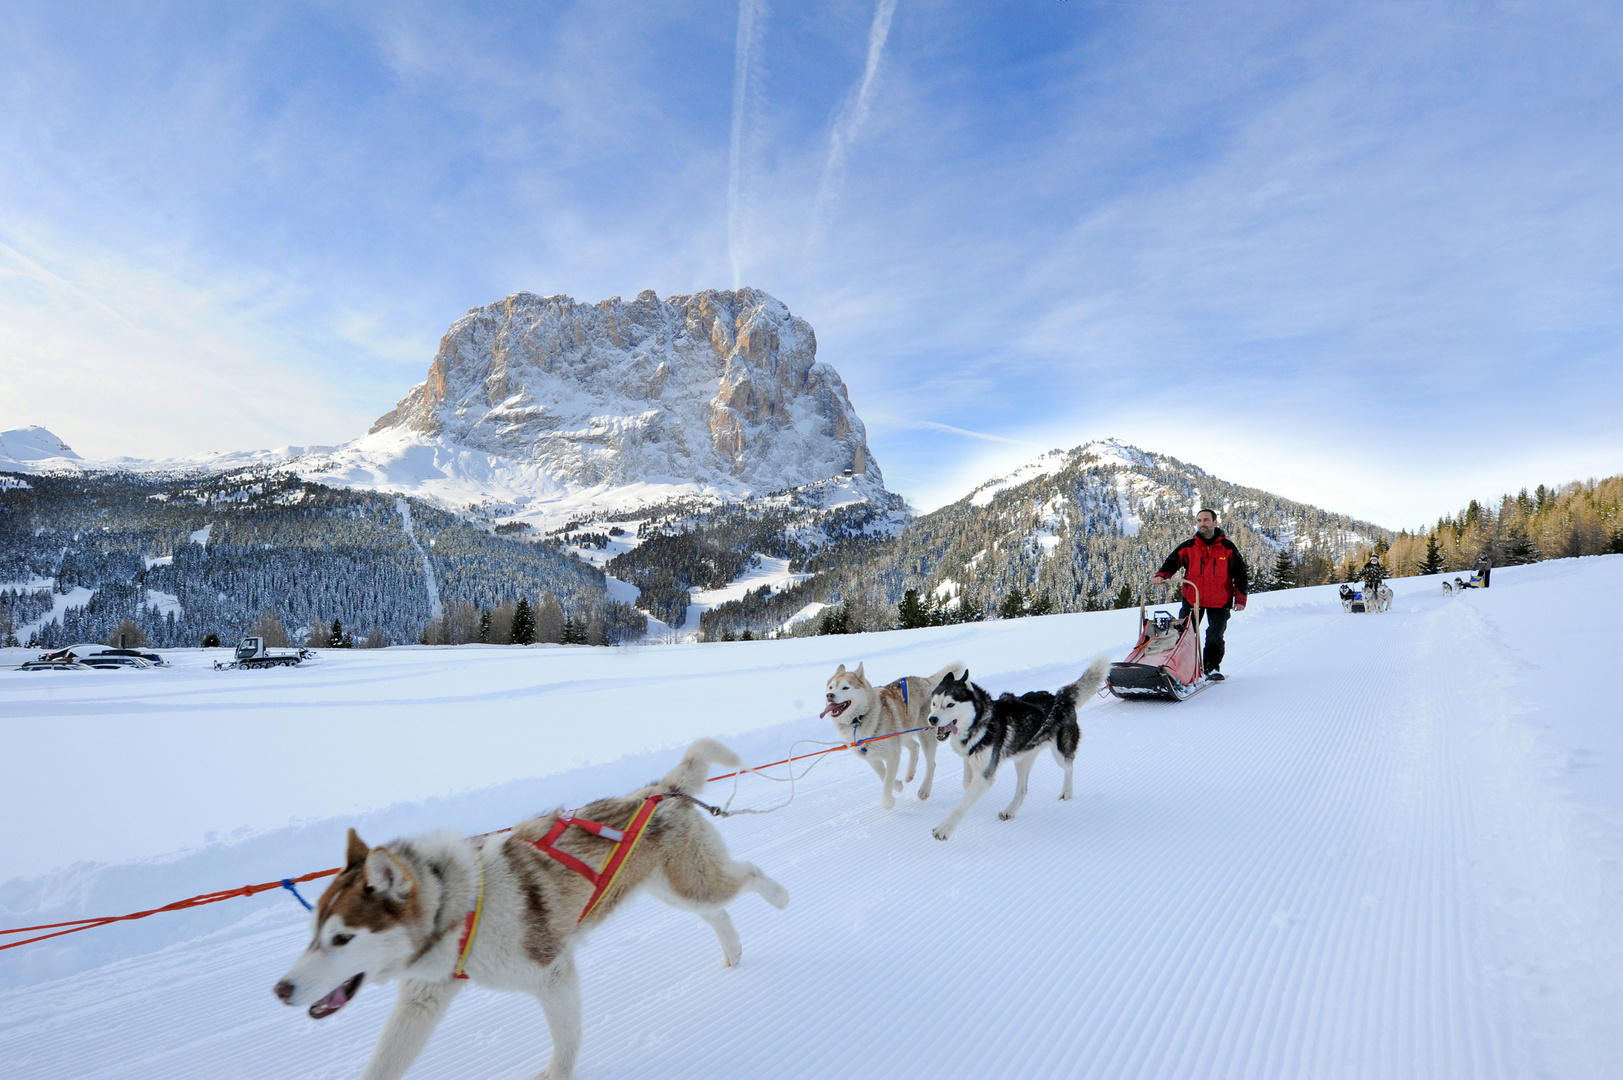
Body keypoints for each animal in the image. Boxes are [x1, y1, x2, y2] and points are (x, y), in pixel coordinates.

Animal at [274, 737, 792, 1078]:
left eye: (343, 938)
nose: (280, 989)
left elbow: (566, 1043)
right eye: (313, 933)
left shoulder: (554, 975)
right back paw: (733, 952)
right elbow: (383, 1063)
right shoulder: (422, 999)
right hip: (675, 891)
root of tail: (662, 790)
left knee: (748, 875)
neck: (459, 907)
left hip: (694, 884)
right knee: (718, 912)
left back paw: (780, 896)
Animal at [824, 662, 960, 805]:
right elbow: (883, 775)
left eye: (845, 687)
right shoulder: (872, 757)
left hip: (925, 736)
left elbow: (887, 781)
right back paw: (909, 773)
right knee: (915, 746)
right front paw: (898, 786)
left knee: (931, 764)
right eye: (831, 687)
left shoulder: (893, 755)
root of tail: (925, 680)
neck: (859, 720)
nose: (829, 695)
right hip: (903, 733)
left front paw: (888, 801)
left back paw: (924, 790)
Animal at [928, 652, 1116, 838]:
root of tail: (1060, 698)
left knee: (1069, 766)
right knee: (1023, 789)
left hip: (1060, 754)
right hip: (1022, 759)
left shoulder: (984, 776)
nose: (932, 719)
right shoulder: (972, 760)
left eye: (950, 704)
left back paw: (1067, 792)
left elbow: (962, 804)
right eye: (934, 703)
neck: (980, 722)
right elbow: (967, 782)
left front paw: (944, 829)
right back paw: (1010, 810)